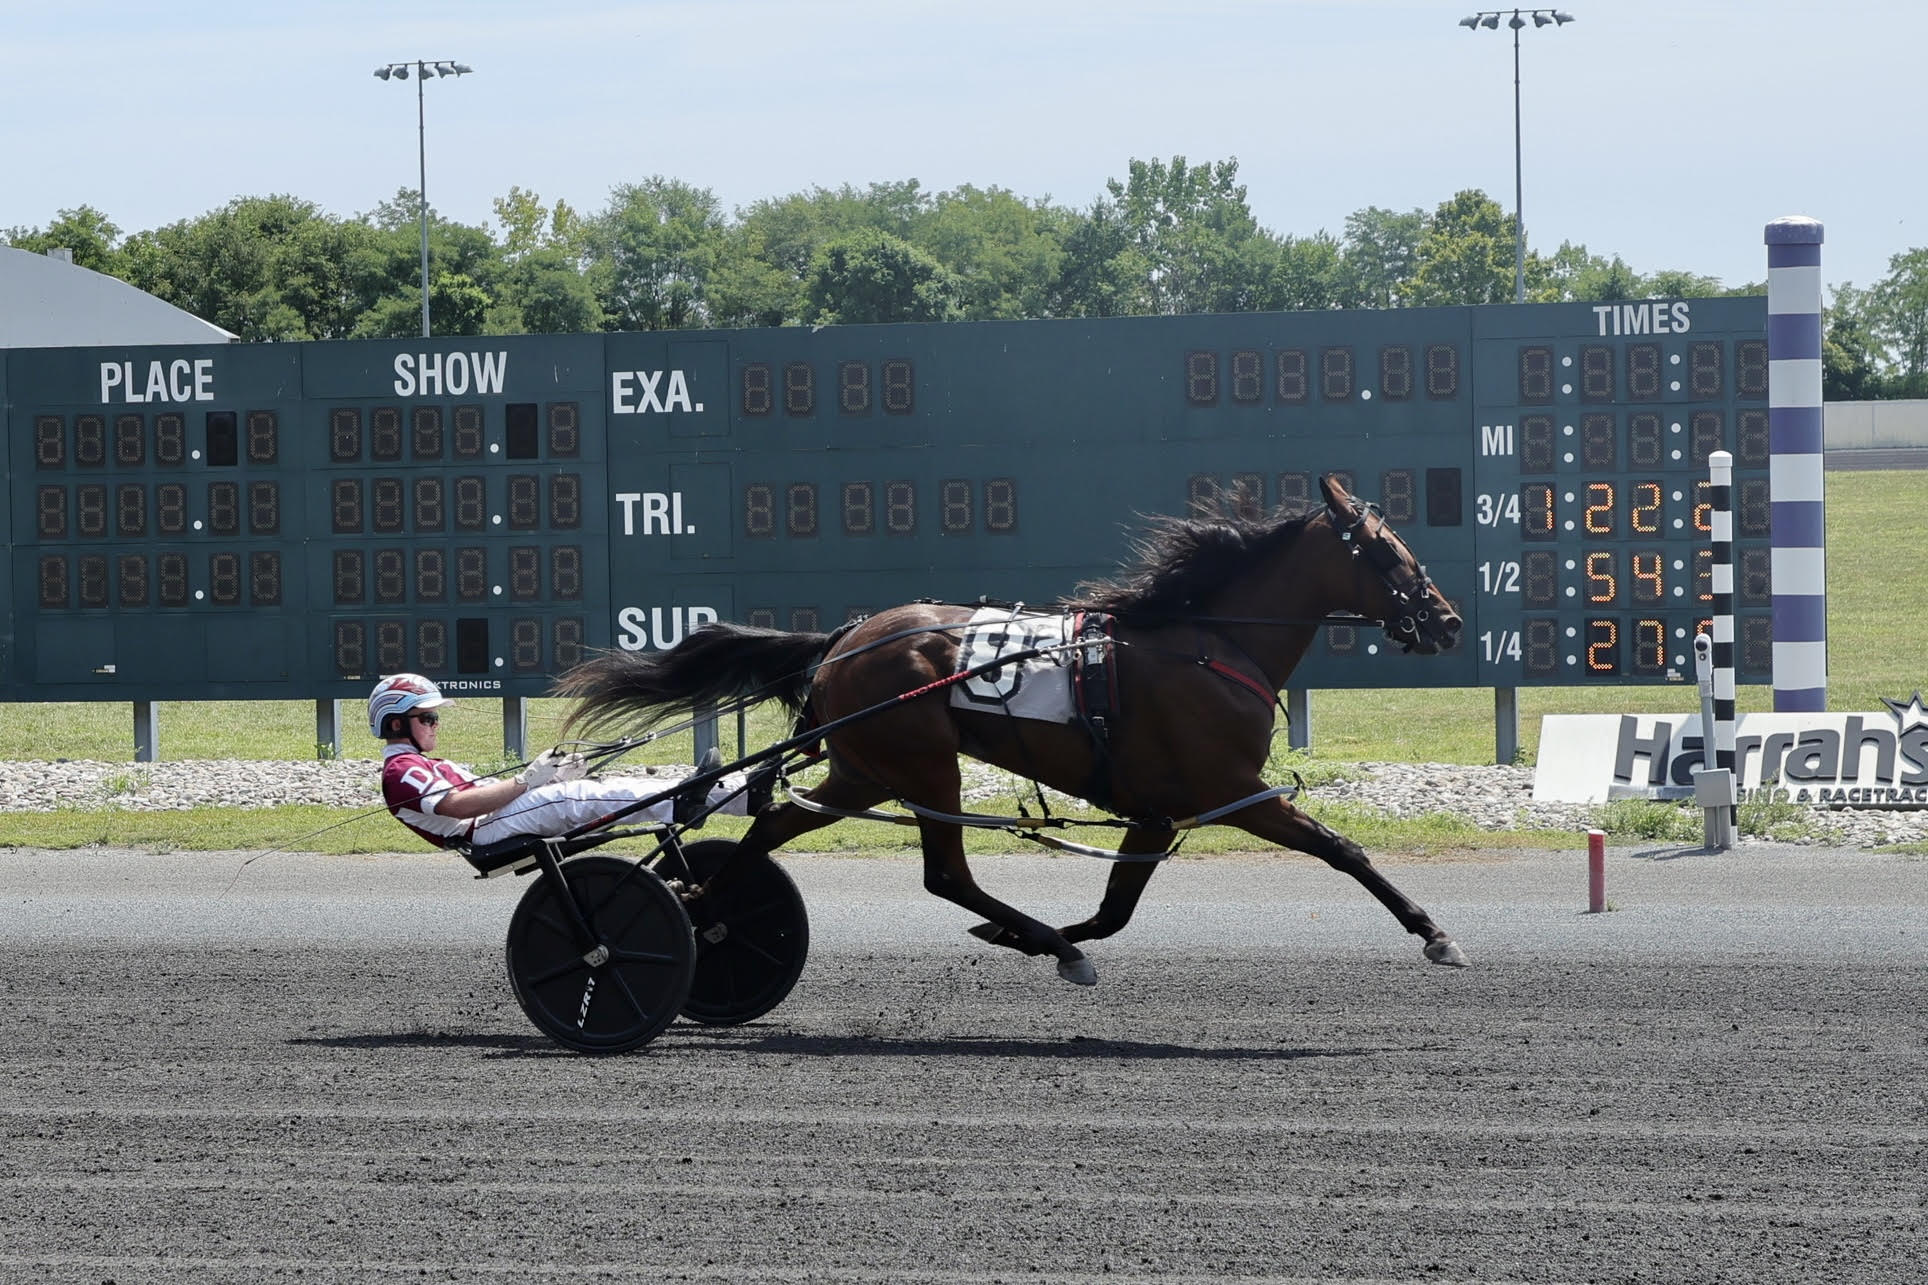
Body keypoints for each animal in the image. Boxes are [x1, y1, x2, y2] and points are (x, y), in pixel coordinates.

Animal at [559, 474, 1457, 984]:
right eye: (1391, 553)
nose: (1445, 620)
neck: (1207, 641)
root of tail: (844, 638)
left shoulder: (1156, 810)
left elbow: (1118, 905)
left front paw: (1031, 936)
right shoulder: (1233, 791)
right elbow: (1342, 849)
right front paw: (1434, 932)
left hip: (865, 771)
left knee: (774, 822)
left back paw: (703, 901)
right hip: (924, 767)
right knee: (943, 873)